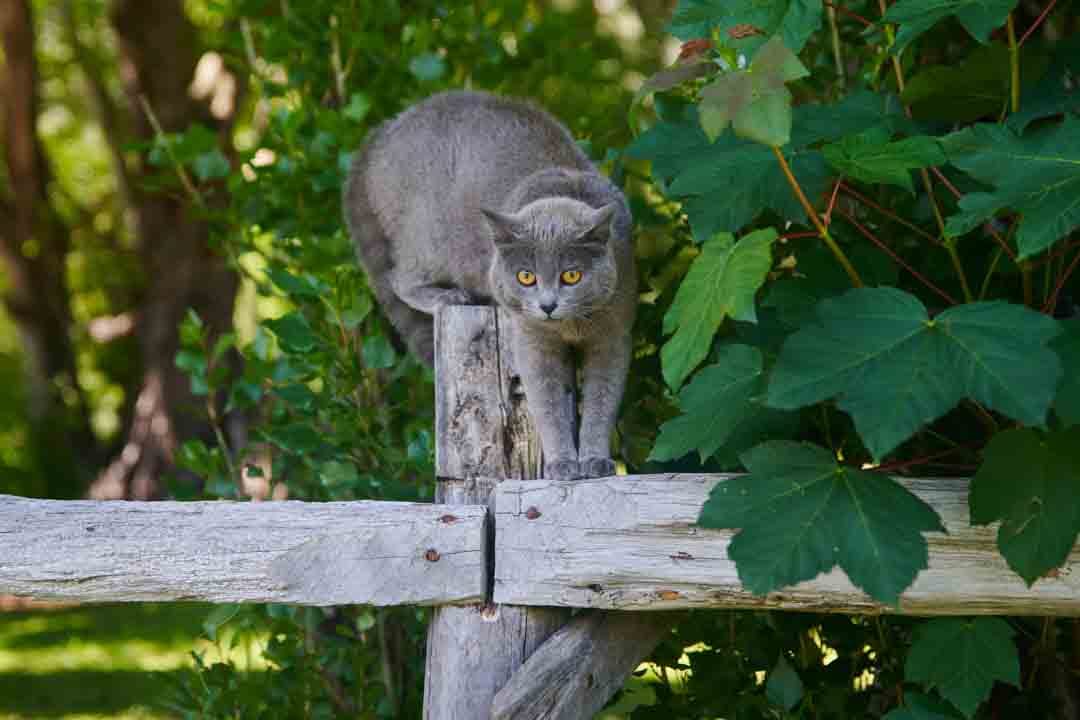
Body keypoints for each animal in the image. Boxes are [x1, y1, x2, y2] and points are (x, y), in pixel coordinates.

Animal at [343, 91, 630, 483]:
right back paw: (446, 295)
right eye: (526, 276)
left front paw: (596, 461)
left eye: (572, 276)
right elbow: (547, 402)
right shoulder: (532, 341)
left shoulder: (613, 335)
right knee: (399, 276)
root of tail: (381, 132)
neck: (570, 327)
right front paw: (562, 464)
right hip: (428, 236)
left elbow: (603, 400)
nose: (548, 305)